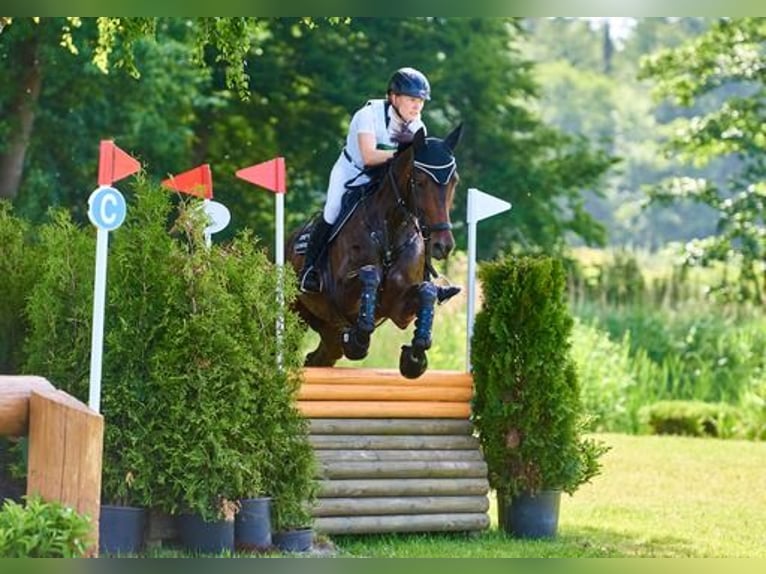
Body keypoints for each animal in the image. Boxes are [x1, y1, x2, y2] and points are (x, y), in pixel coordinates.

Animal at [285, 124, 462, 379]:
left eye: (454, 182)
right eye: (419, 182)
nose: (443, 245)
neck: (390, 230)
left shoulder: (399, 307)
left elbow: (426, 291)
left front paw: (415, 357)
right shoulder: (341, 292)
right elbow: (370, 274)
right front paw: (358, 340)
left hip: (328, 330)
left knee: (319, 357)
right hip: (294, 311)